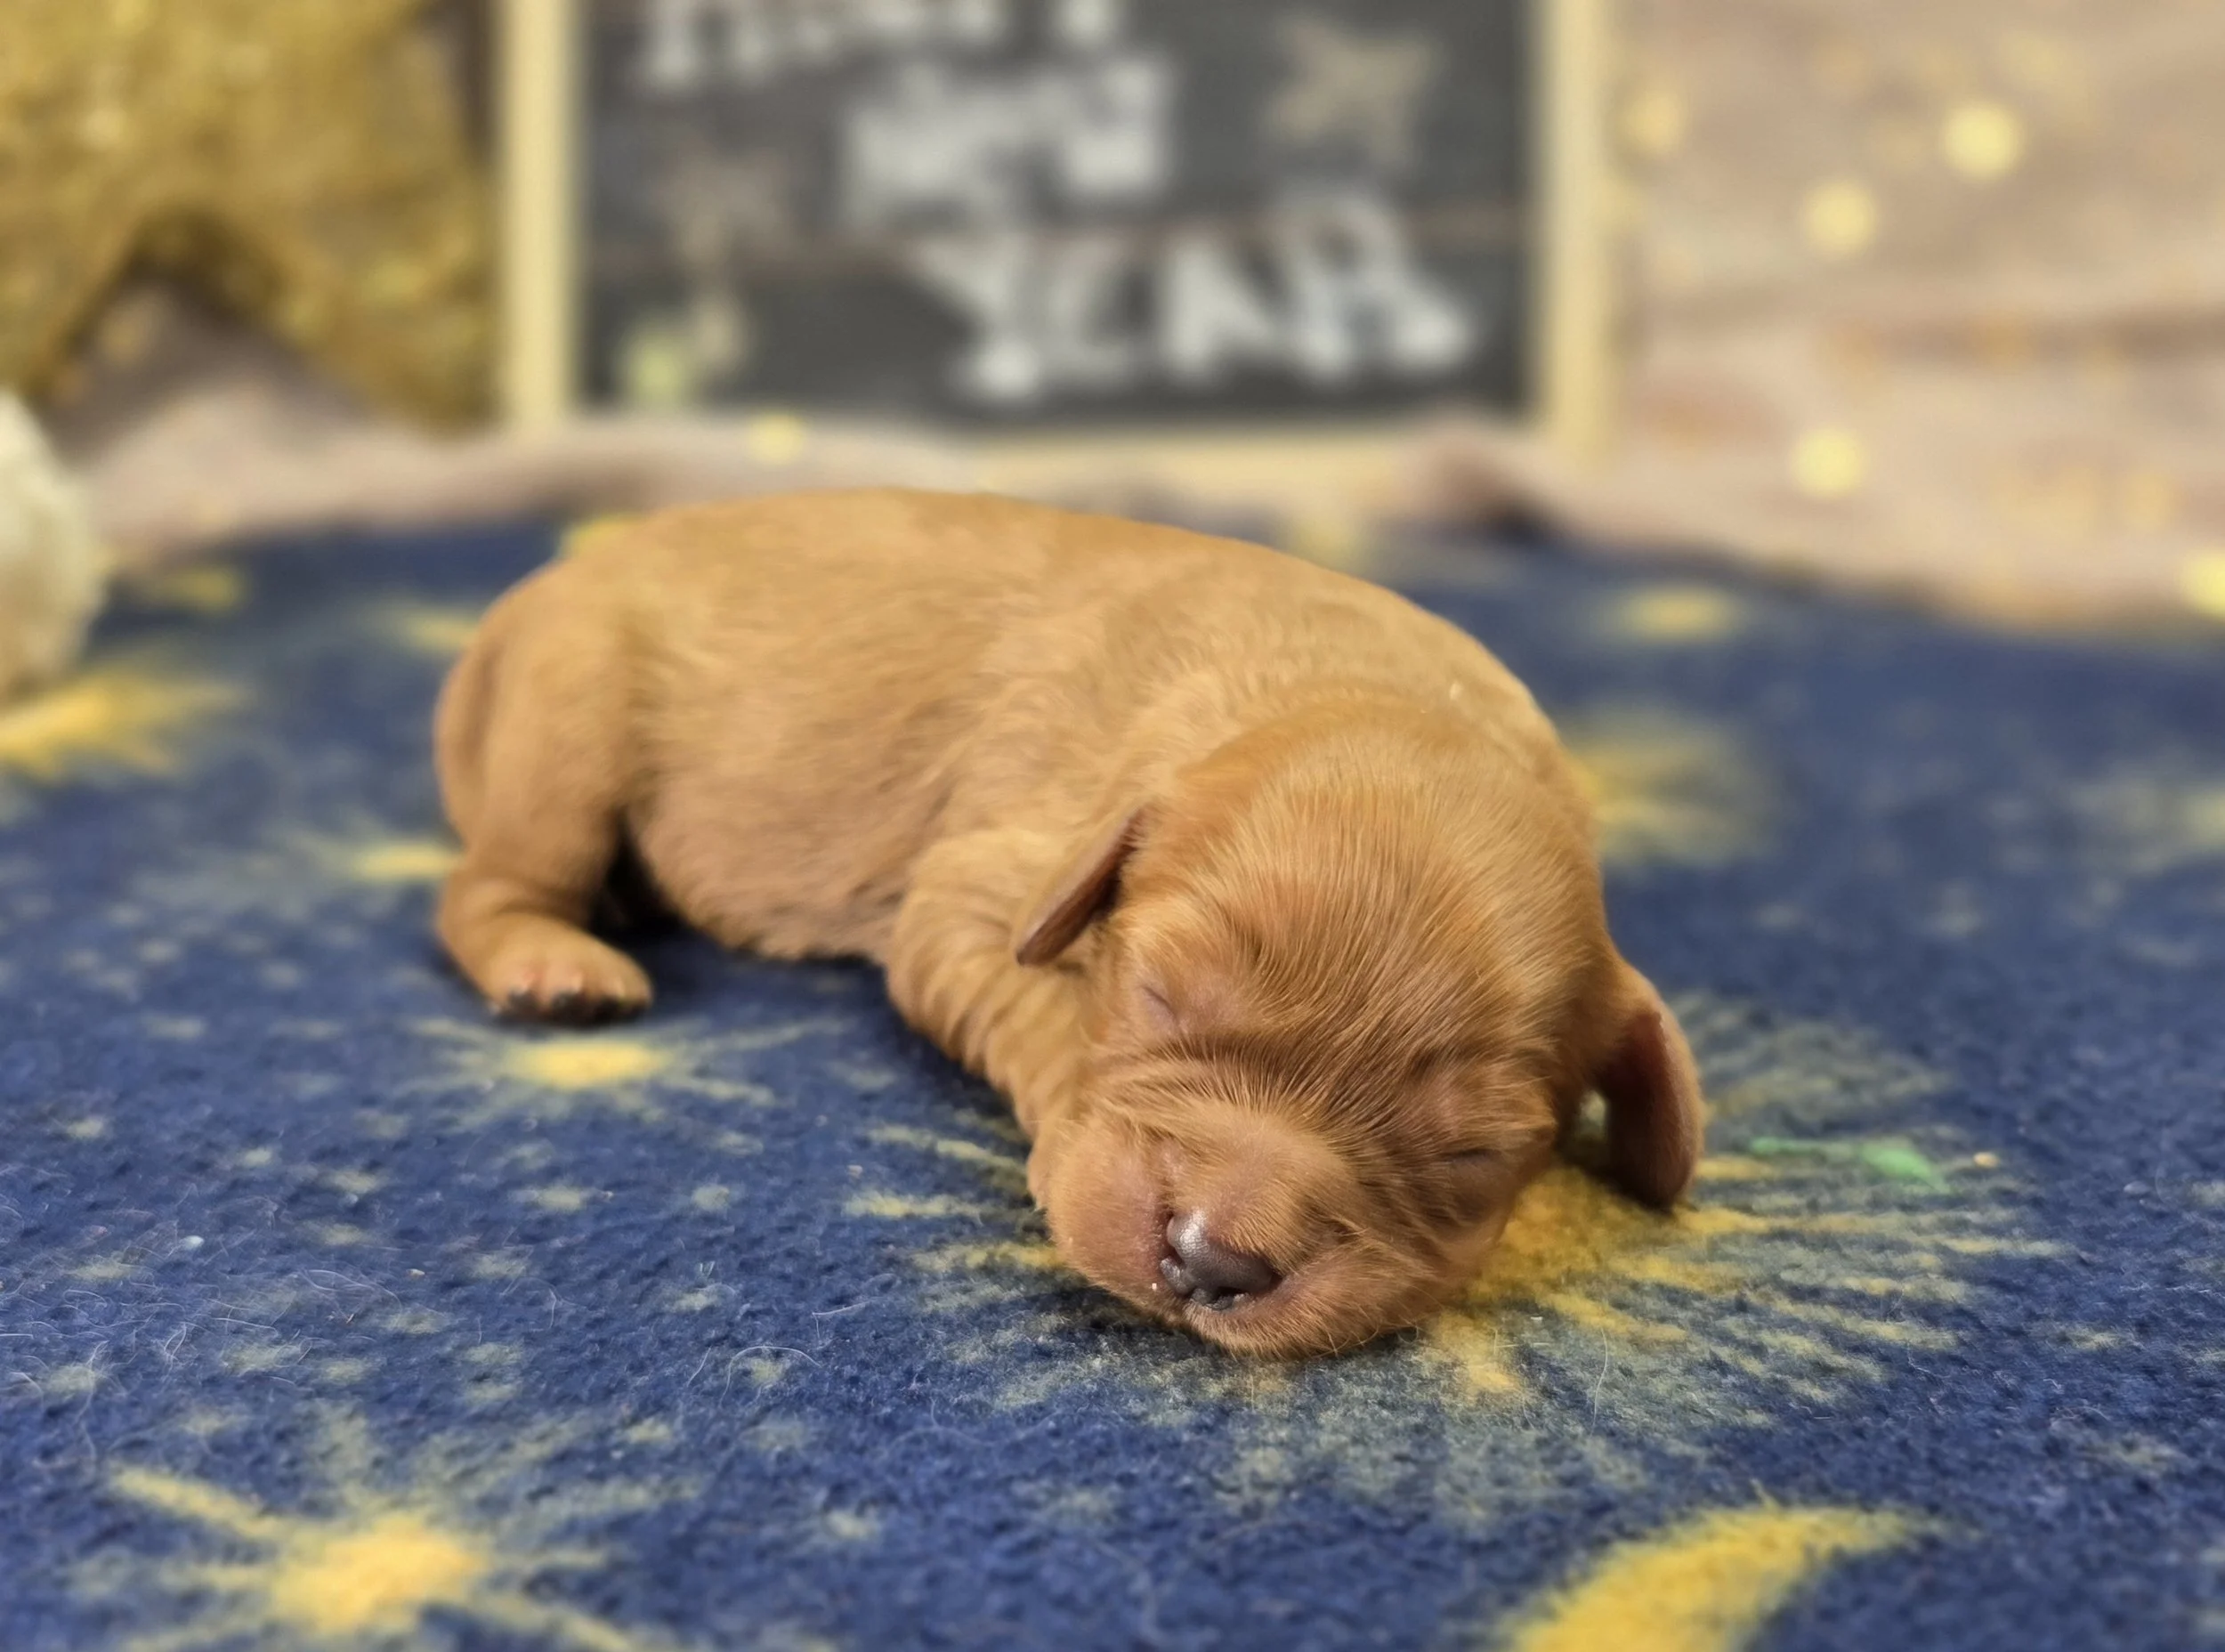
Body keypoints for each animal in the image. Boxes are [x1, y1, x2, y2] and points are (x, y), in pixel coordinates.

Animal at [433, 489, 1704, 1356]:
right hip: (568, 723)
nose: (1210, 1259)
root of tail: (527, 597)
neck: (1355, 683)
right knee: (487, 885)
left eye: (1473, 1154)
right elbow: (1025, 999)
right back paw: (556, 963)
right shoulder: (974, 888)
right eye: (1153, 994)